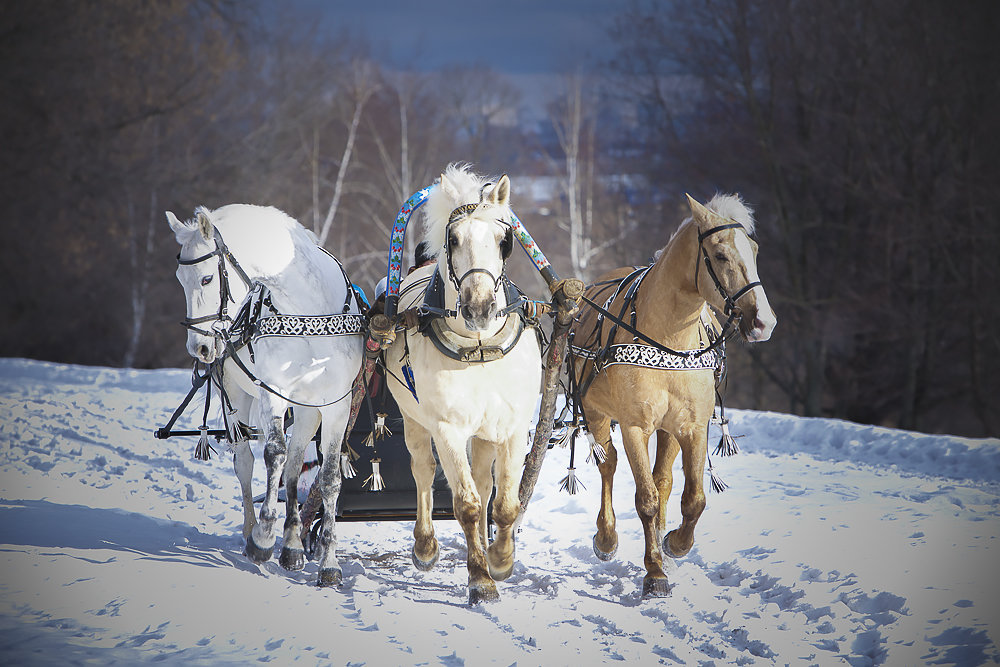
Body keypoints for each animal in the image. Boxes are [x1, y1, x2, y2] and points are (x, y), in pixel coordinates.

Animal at [167, 205, 364, 588]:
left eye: (207, 279)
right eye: (180, 280)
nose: (199, 348)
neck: (307, 312)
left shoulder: (336, 405)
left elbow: (328, 477)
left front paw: (328, 563)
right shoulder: (273, 392)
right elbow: (274, 454)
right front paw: (263, 537)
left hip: (307, 410)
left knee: (296, 465)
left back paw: (292, 546)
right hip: (236, 396)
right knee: (245, 460)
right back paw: (252, 531)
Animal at [382, 166, 540, 604]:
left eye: (505, 241)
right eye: (453, 240)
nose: (479, 308)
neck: (479, 349)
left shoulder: (513, 426)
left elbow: (504, 503)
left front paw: (500, 560)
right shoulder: (448, 429)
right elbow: (466, 504)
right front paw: (480, 579)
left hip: (485, 432)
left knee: (486, 484)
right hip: (415, 420)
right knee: (422, 470)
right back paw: (425, 546)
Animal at [572, 196, 772, 596]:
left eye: (755, 250)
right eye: (721, 255)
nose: (764, 322)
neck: (667, 340)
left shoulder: (691, 427)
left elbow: (693, 498)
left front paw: (675, 545)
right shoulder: (634, 427)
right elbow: (645, 498)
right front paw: (654, 572)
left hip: (668, 430)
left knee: (662, 478)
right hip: (596, 412)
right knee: (608, 465)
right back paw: (606, 537)